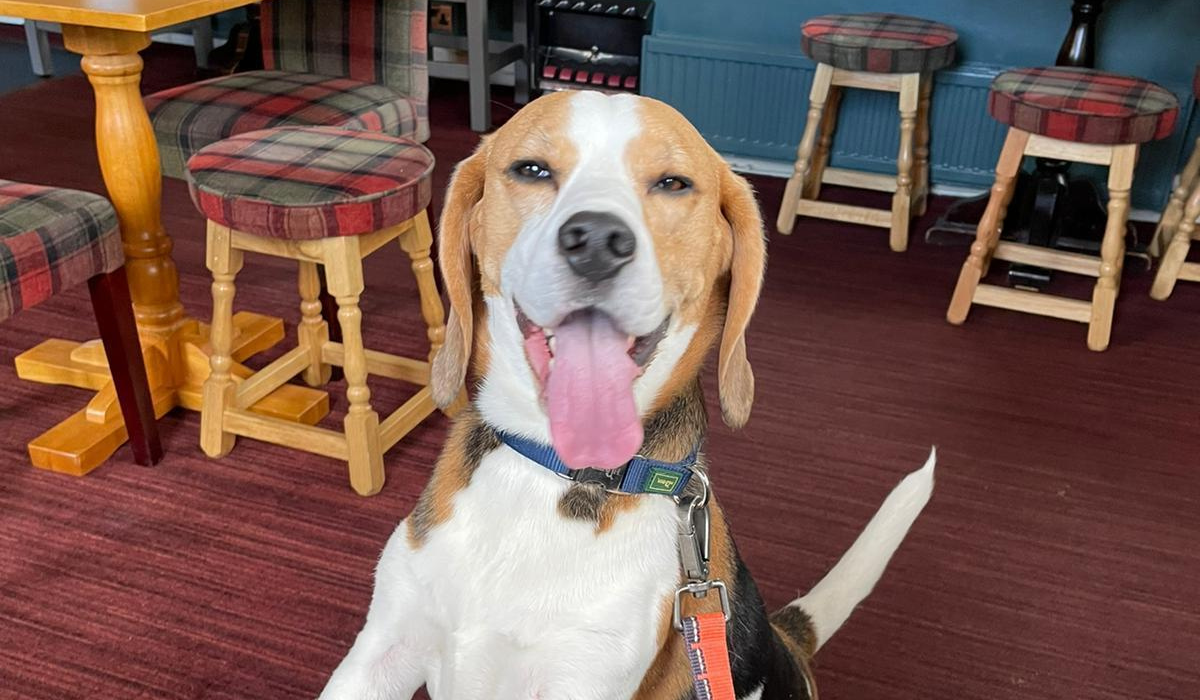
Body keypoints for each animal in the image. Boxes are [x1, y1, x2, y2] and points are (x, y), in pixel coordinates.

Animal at [321, 91, 936, 700]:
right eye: (532, 170)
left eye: (673, 183)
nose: (596, 241)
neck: (556, 478)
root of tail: (788, 643)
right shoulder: (382, 652)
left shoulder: (580, 679)